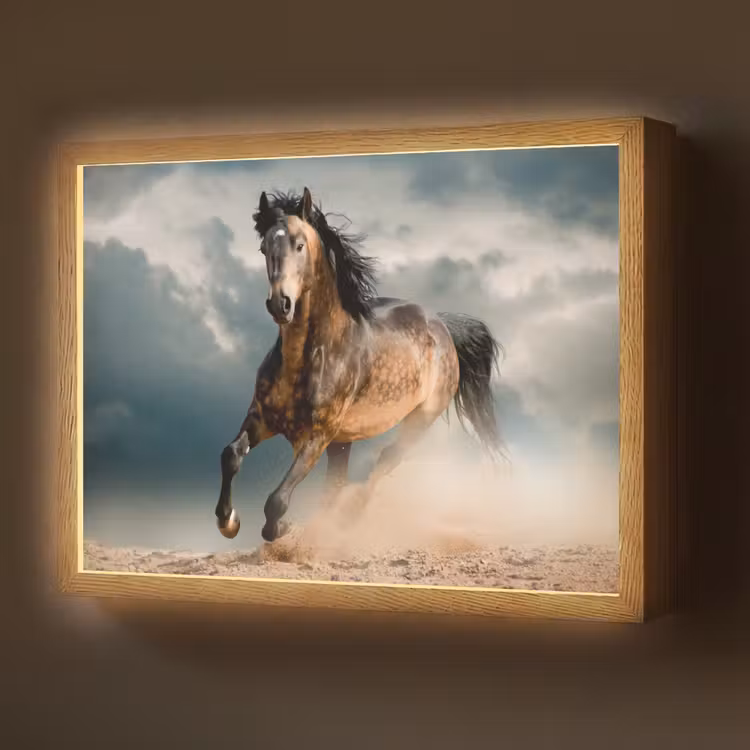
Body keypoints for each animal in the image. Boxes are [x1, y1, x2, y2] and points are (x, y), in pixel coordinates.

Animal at [214, 187, 504, 543]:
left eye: (299, 245)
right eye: (264, 247)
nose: (280, 304)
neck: (308, 356)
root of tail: (443, 326)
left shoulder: (317, 437)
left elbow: (277, 500)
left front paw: (281, 528)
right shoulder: (261, 418)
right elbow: (231, 455)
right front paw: (228, 521)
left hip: (420, 419)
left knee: (384, 461)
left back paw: (347, 518)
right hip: (344, 442)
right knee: (337, 484)